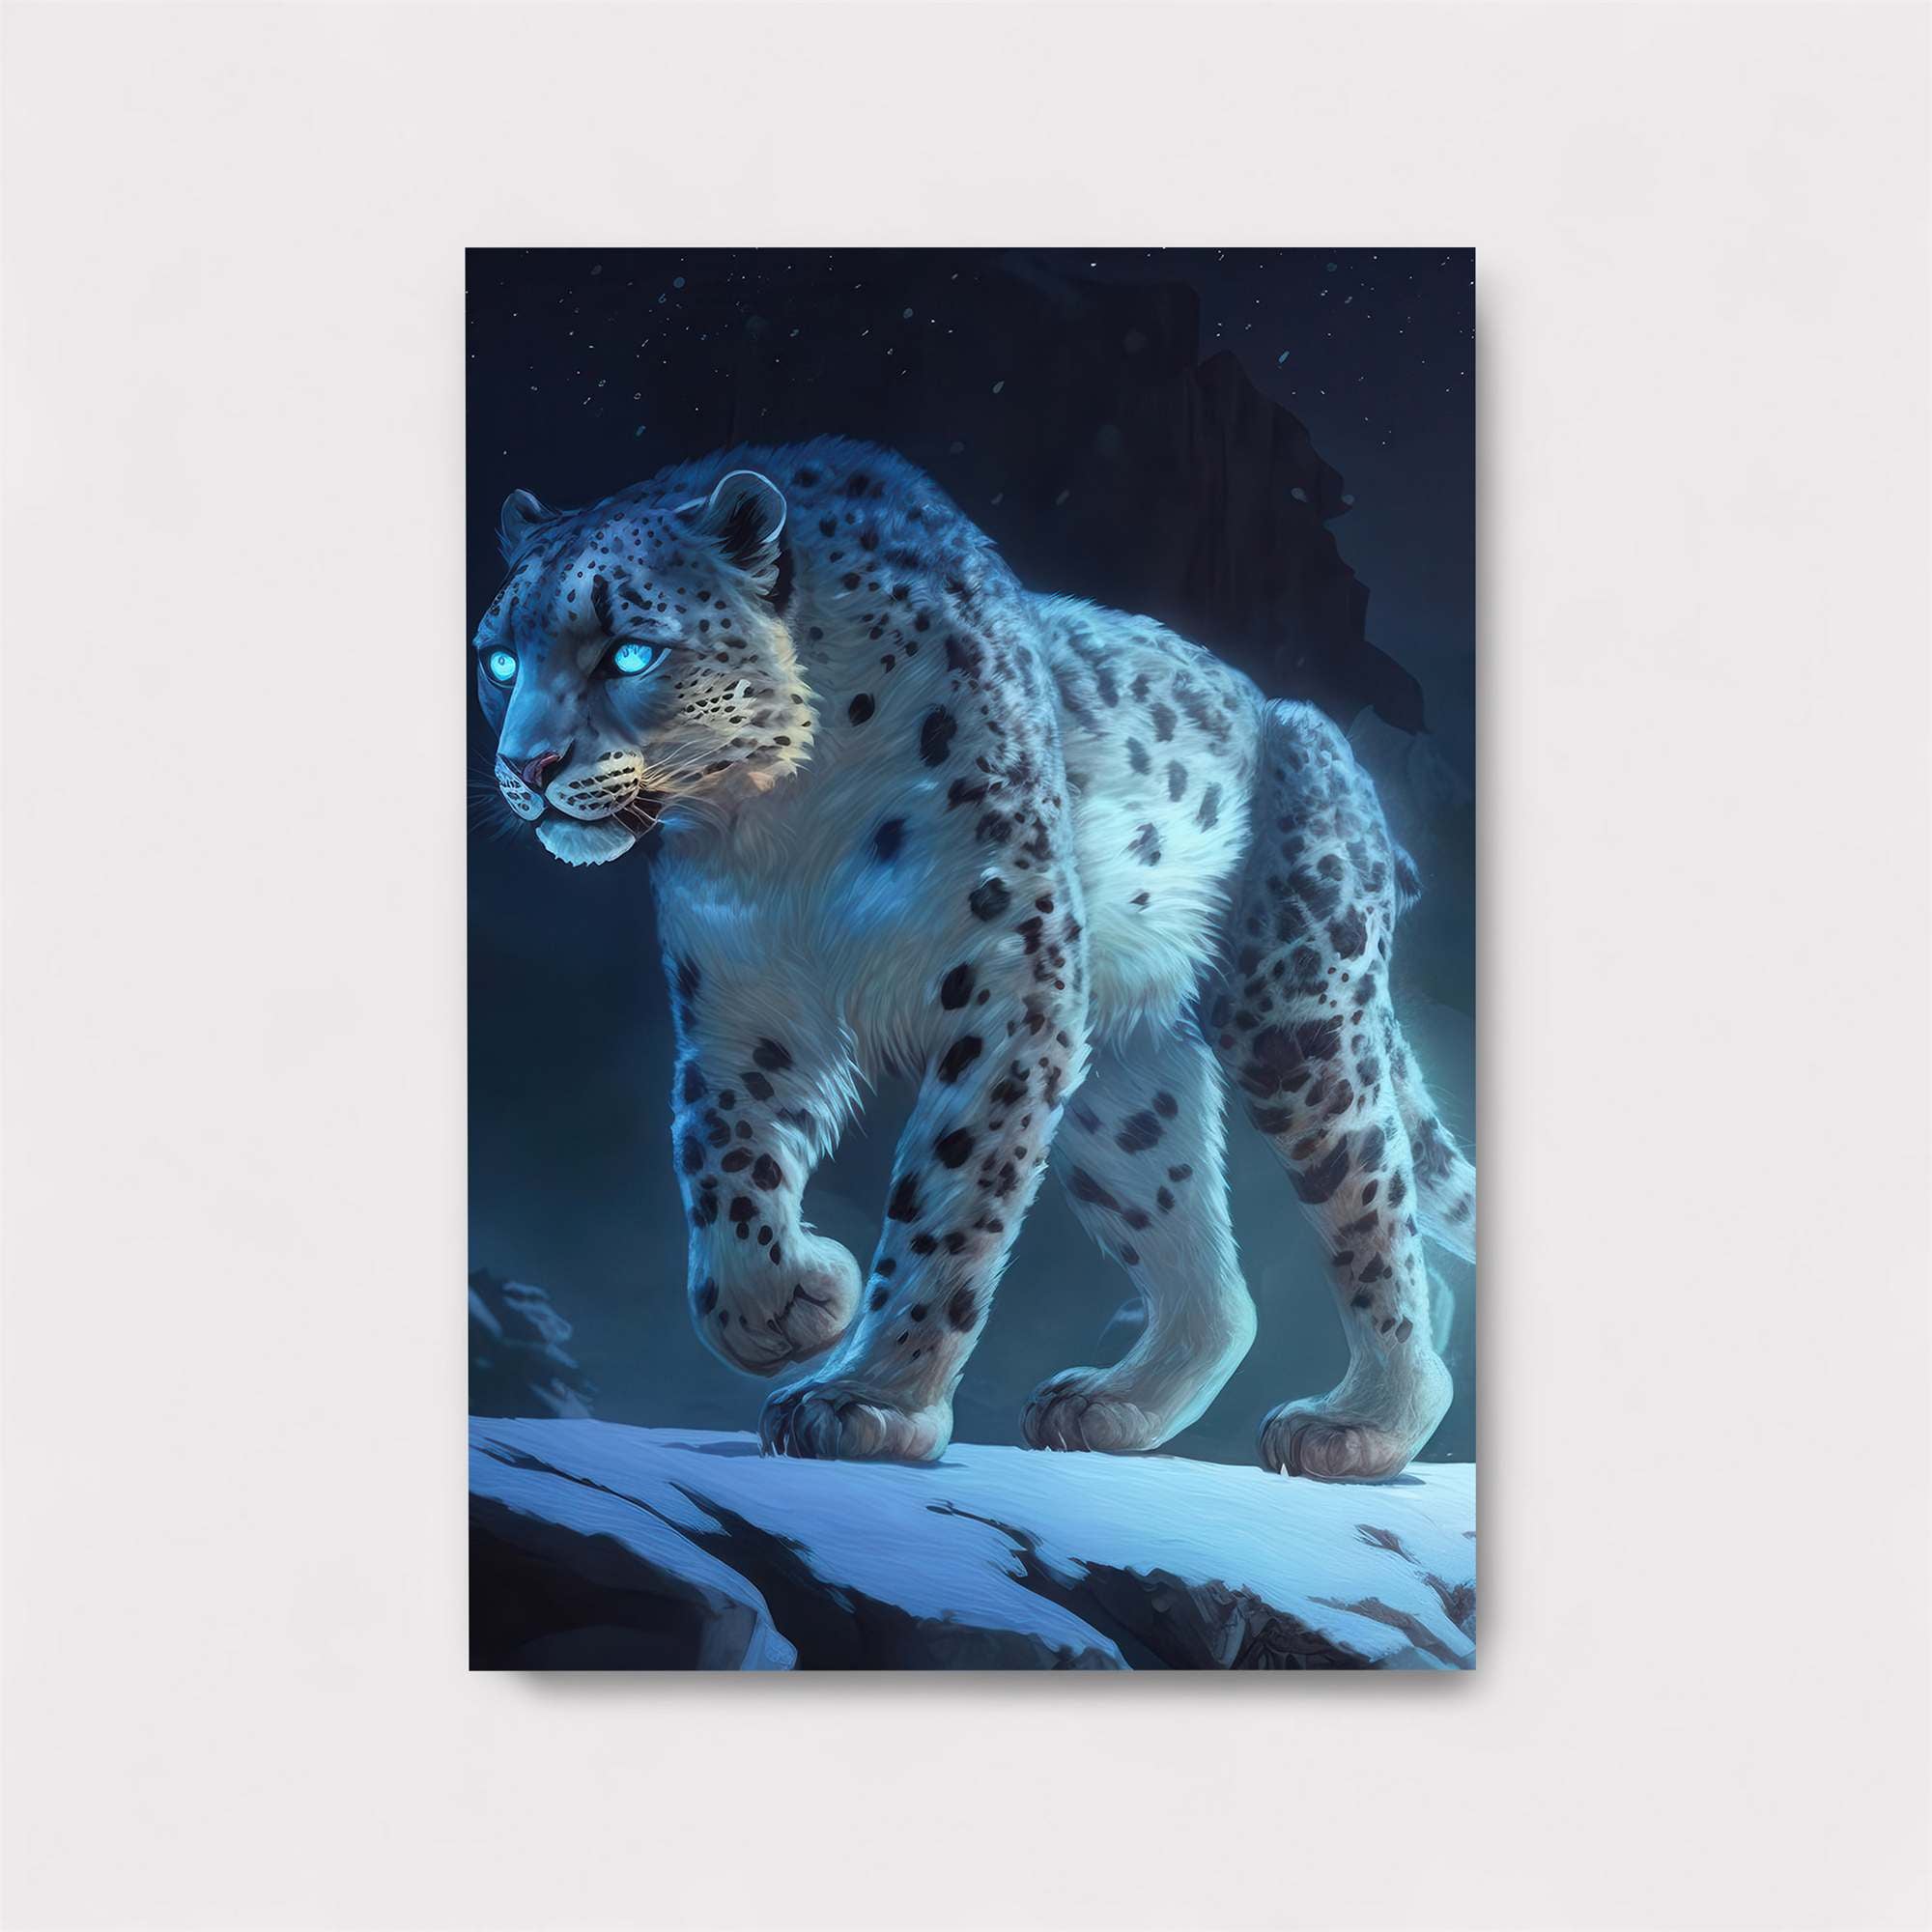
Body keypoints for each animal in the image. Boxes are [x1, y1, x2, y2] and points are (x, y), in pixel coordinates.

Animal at [472, 438, 1476, 1481]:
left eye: (631, 649)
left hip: (1295, 1010)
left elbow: (947, 1196)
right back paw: (1107, 1405)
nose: (526, 767)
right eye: (498, 658)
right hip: (1125, 1089)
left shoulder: (1005, 975)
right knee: (1203, 1260)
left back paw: (1358, 1424)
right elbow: (719, 1152)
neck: (770, 824)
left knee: (1375, 1209)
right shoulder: (741, 999)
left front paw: (866, 1398)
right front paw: (782, 1307)